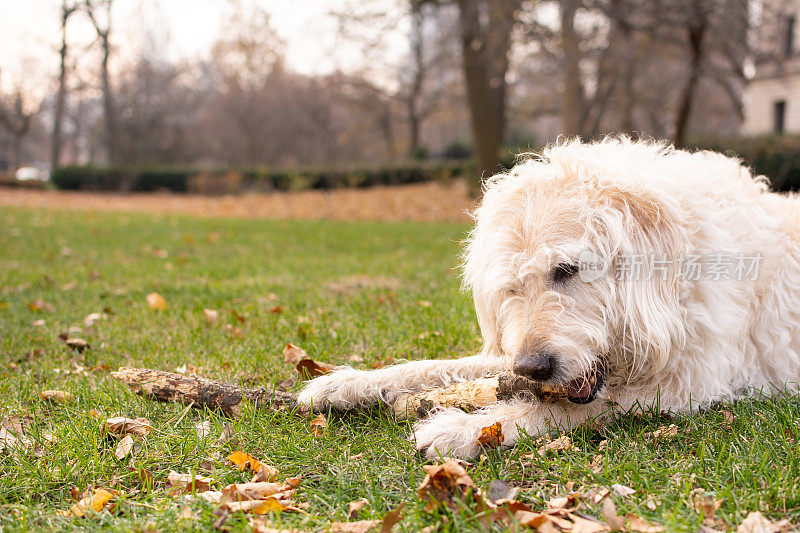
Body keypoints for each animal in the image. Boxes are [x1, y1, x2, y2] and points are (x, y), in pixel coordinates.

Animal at [296, 137, 800, 458]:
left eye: (567, 270)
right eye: (512, 288)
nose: (533, 368)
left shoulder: (687, 384)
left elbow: (563, 410)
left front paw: (465, 428)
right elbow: (433, 367)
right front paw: (346, 383)